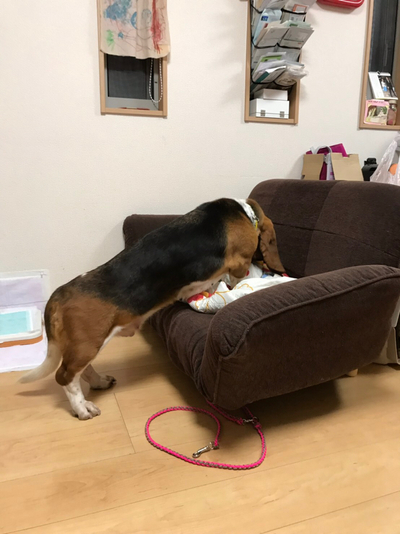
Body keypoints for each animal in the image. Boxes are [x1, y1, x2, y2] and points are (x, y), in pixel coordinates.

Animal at [20, 198, 285, 420]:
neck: (245, 212)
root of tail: (59, 294)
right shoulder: (239, 262)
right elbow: (237, 275)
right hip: (89, 343)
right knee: (65, 376)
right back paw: (82, 408)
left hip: (84, 346)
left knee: (80, 372)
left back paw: (98, 382)